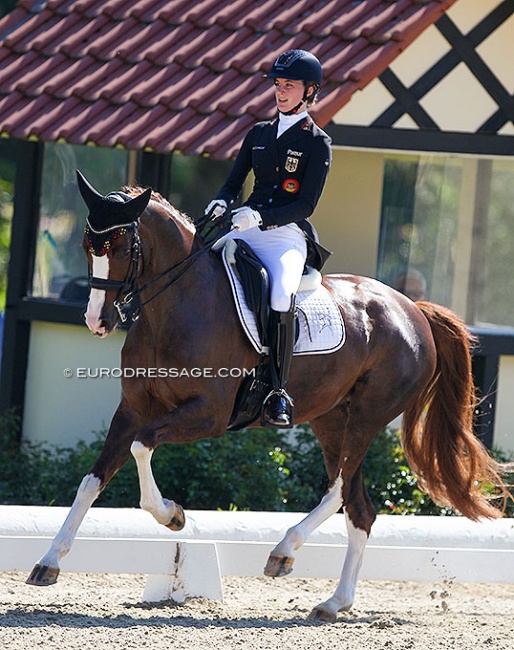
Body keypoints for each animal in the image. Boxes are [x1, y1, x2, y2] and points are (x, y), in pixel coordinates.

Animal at [26, 173, 506, 624]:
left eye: (123, 246)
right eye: (88, 245)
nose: (98, 320)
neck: (178, 306)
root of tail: (413, 309)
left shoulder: (209, 415)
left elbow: (142, 448)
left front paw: (173, 515)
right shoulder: (132, 409)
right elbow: (92, 480)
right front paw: (48, 562)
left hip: (368, 416)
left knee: (338, 489)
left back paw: (284, 552)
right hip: (331, 418)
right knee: (360, 508)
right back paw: (334, 602)